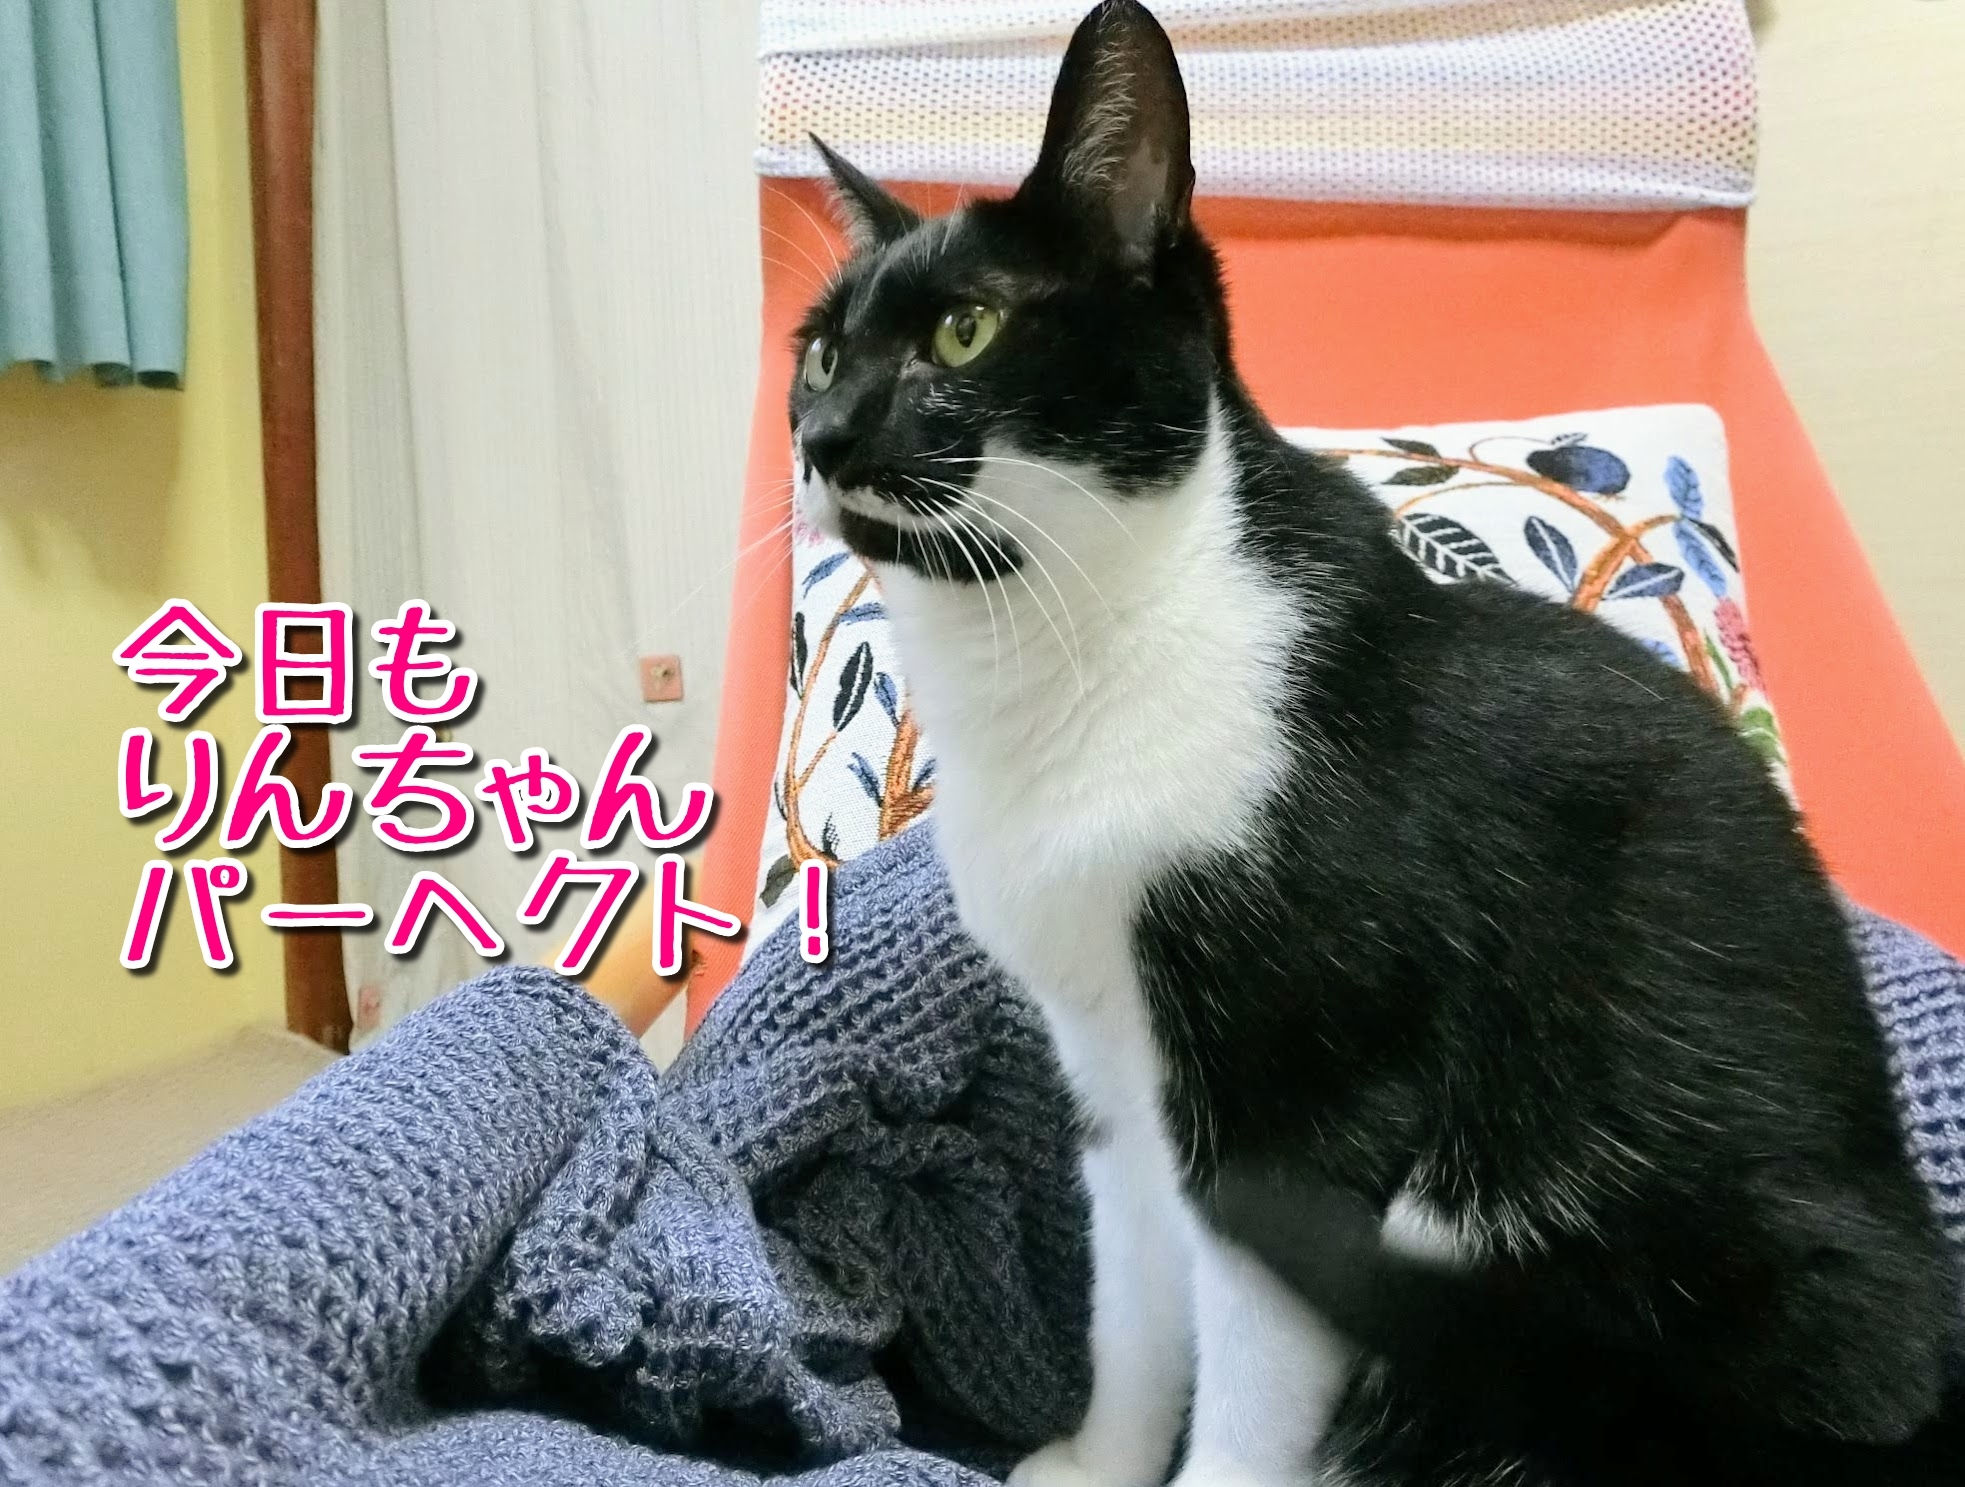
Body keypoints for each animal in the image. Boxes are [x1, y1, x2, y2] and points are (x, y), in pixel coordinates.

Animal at [787, 3, 1958, 1484]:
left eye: (964, 331)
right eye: (820, 353)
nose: (822, 436)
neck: (1072, 646)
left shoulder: (1299, 1108)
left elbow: (1247, 1386)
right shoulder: (1109, 1067)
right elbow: (1133, 1307)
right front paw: (1100, 1457)